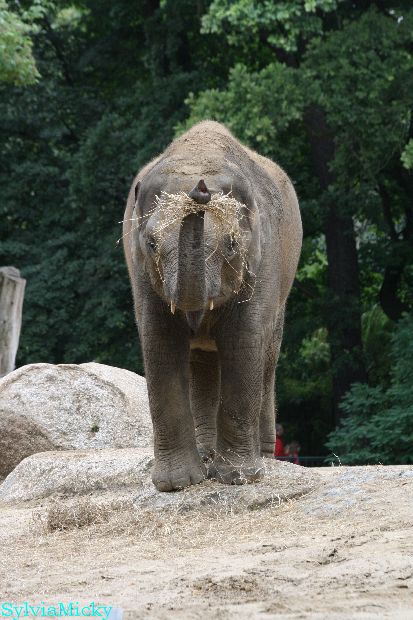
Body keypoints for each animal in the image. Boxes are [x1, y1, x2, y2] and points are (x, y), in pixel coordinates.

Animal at [123, 121, 302, 491]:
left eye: (232, 243)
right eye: (151, 243)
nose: (200, 191)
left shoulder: (263, 263)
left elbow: (243, 342)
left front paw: (237, 479)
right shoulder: (141, 274)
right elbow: (160, 342)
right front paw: (177, 485)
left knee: (267, 357)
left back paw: (264, 460)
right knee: (202, 361)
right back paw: (207, 455)